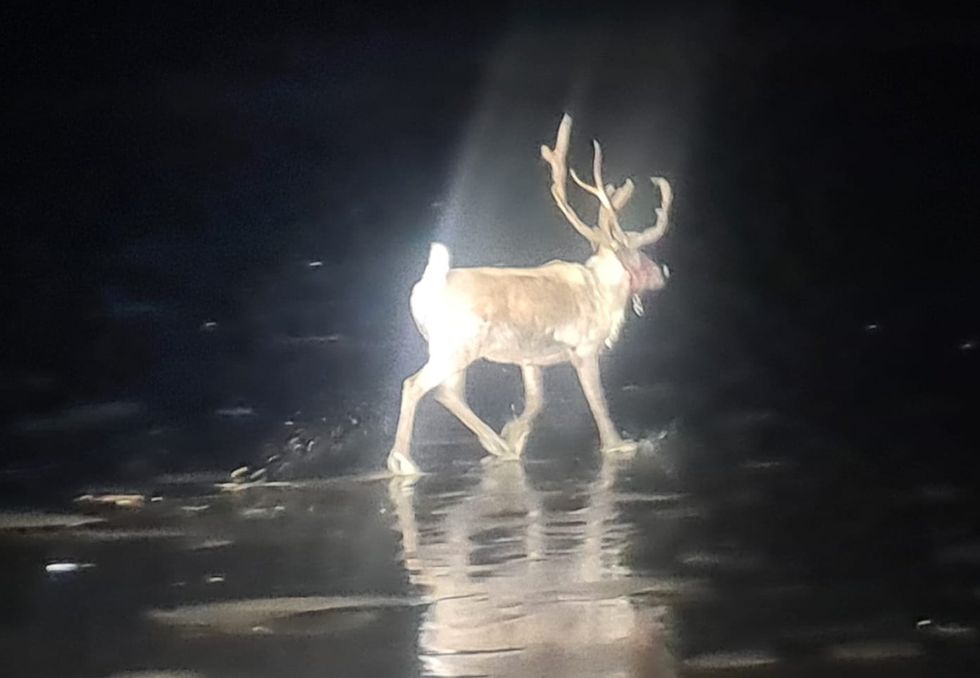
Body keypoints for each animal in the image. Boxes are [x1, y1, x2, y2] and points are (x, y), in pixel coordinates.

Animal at [387, 113, 673, 475]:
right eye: (641, 255)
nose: (663, 274)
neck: (604, 293)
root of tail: (425, 289)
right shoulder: (584, 348)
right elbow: (598, 401)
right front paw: (618, 444)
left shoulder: (530, 358)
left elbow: (537, 401)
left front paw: (515, 434)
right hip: (456, 347)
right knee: (416, 385)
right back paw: (404, 460)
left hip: (453, 350)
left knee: (447, 393)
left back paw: (497, 444)